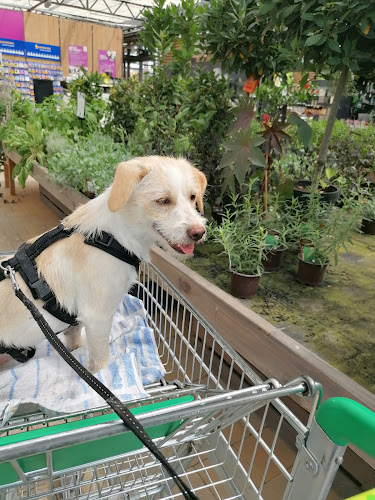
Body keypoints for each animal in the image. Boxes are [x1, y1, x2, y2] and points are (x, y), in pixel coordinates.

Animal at [0, 156, 207, 372]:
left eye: (193, 197)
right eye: (163, 201)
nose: (199, 233)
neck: (111, 238)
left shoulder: (78, 317)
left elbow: (74, 336)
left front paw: (76, 350)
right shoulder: (98, 318)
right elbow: (100, 360)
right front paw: (100, 374)